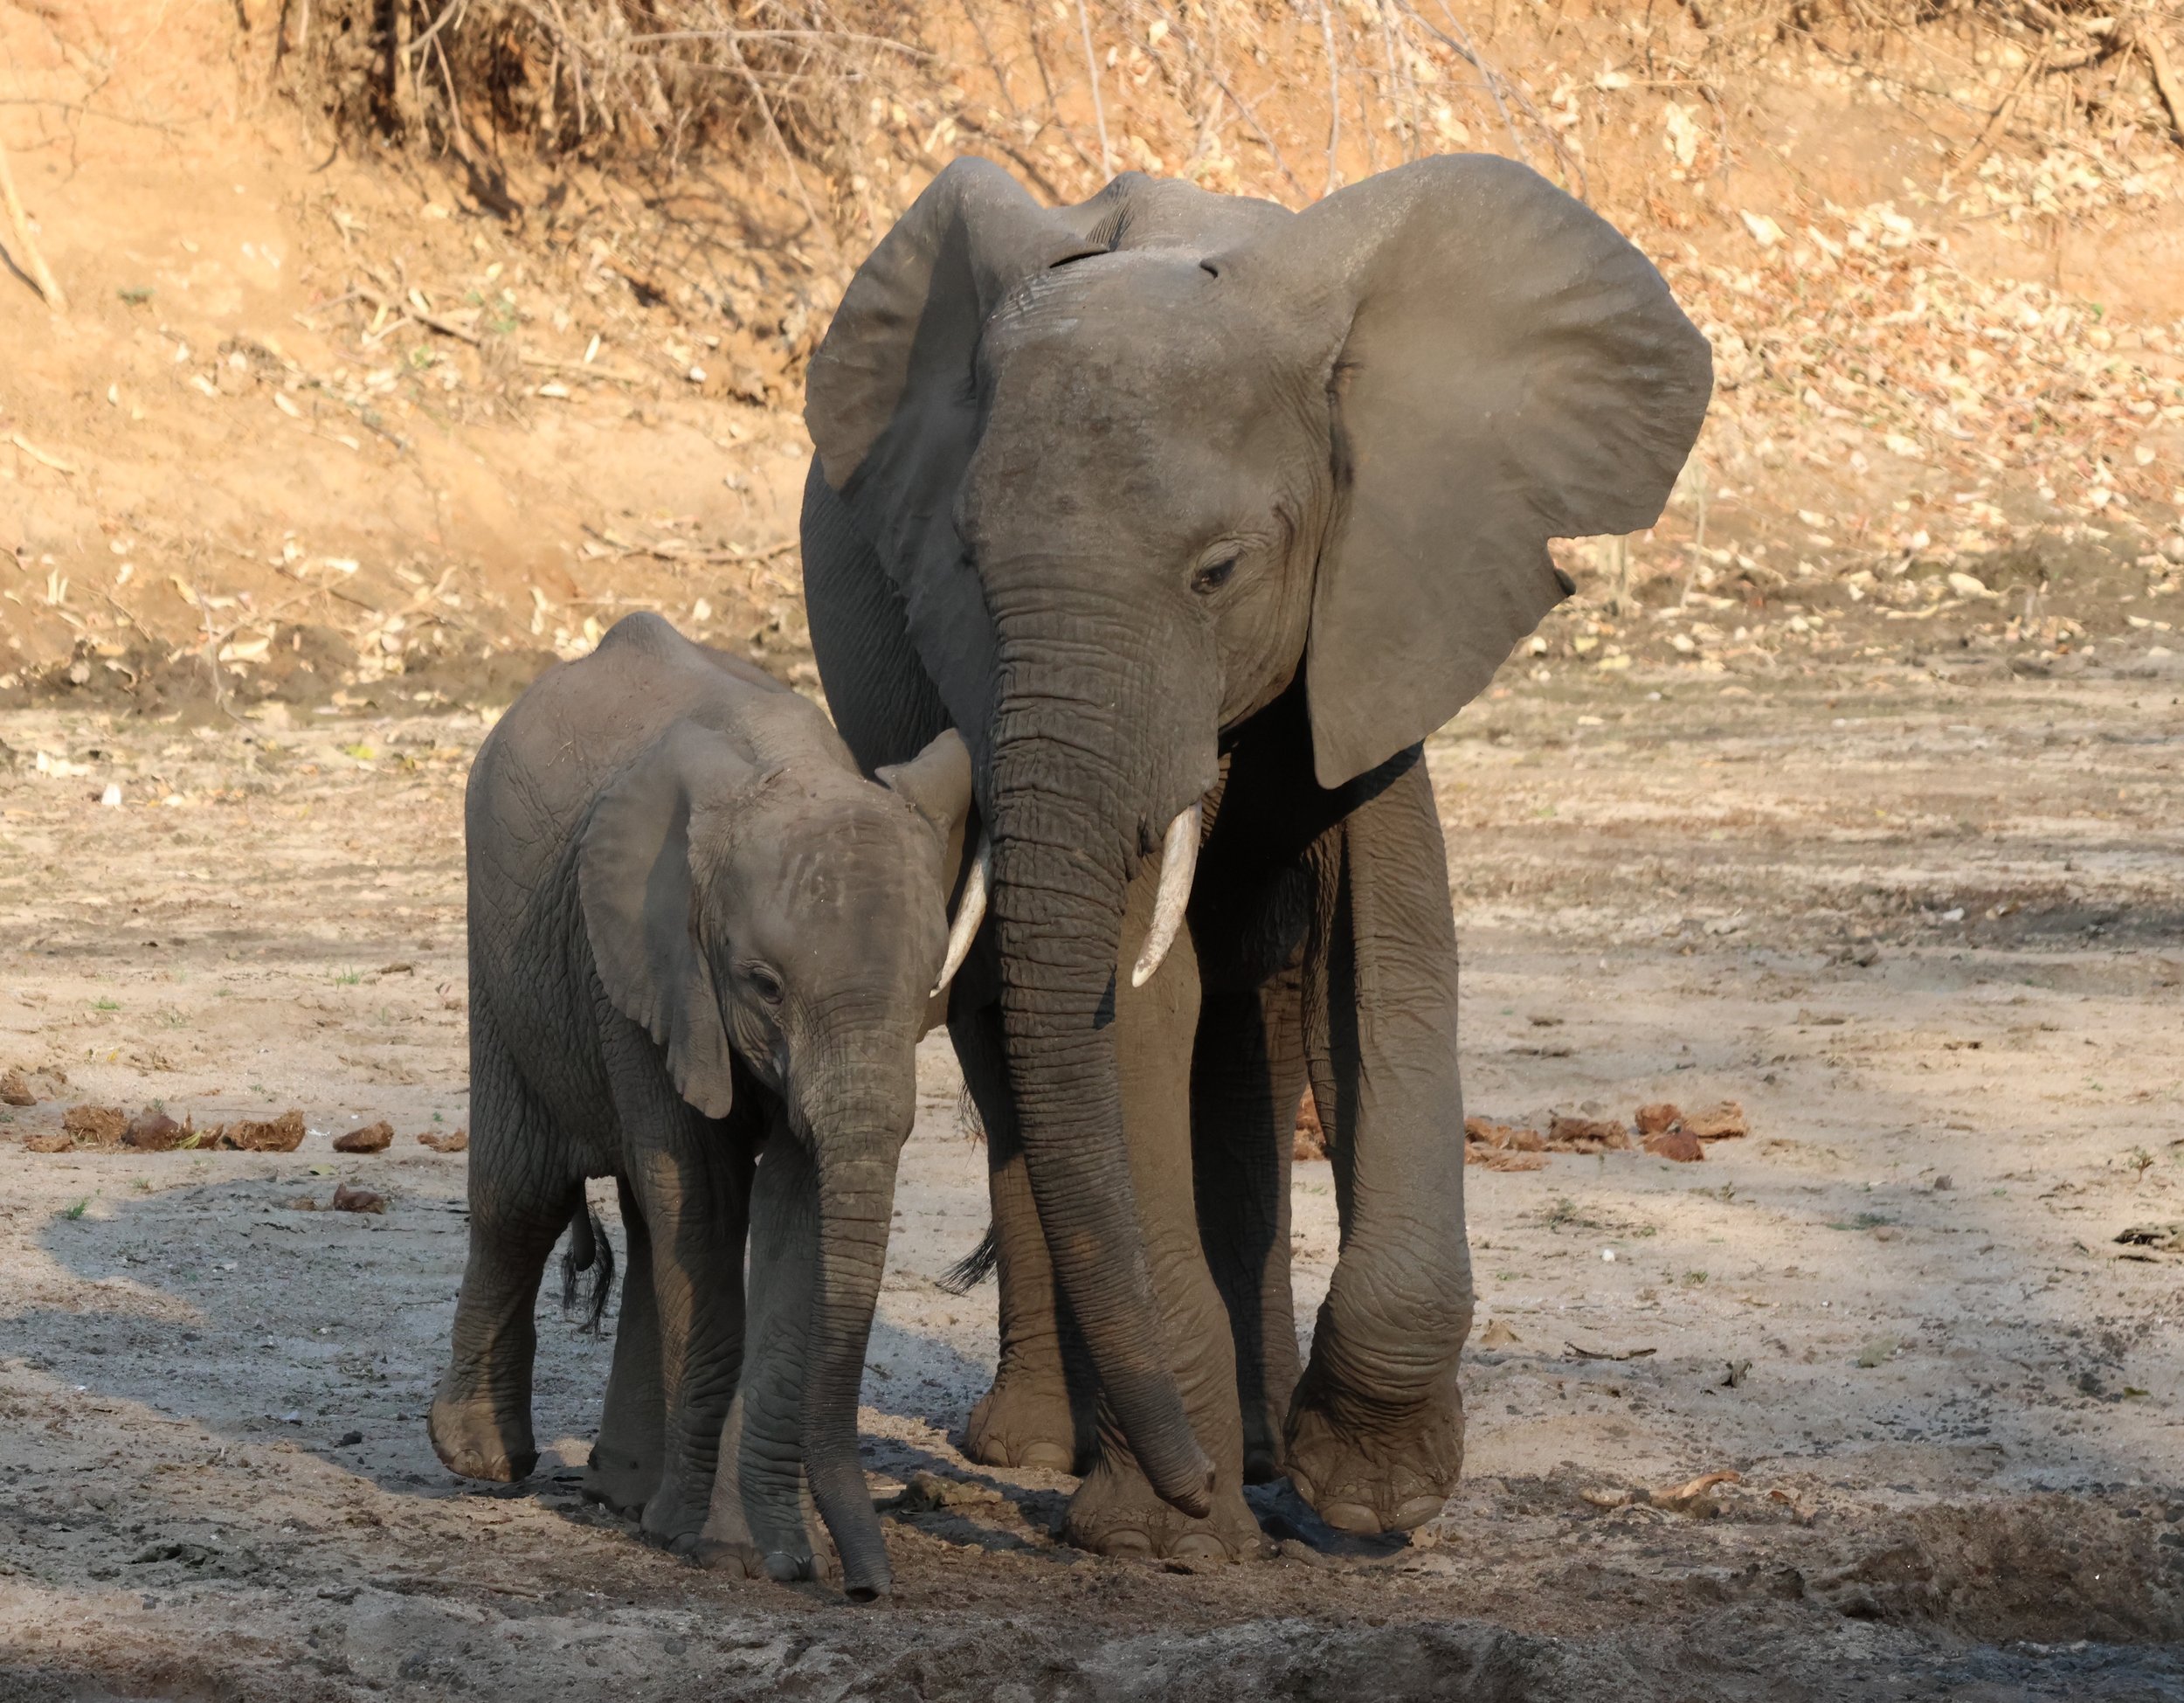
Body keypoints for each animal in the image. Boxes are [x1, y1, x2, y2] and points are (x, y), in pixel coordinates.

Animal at [428, 610, 982, 1599]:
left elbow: (794, 1214)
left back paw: (625, 1491)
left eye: (931, 983)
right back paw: (485, 1462)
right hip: (503, 947)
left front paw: (766, 1550)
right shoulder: (648, 969)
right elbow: (706, 1201)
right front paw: (719, 1546)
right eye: (762, 983)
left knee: (646, 1224)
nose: (867, 1587)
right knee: (524, 1195)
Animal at [796, 153, 1711, 1559]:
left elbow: (1389, 960)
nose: (1183, 1495)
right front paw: (1167, 1535)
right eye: (962, 561)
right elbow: (1134, 1002)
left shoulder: (1382, 599)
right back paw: (1040, 1446)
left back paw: (1262, 1443)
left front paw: (1367, 1494)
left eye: (1220, 570)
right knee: (1017, 1037)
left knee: (1256, 1038)